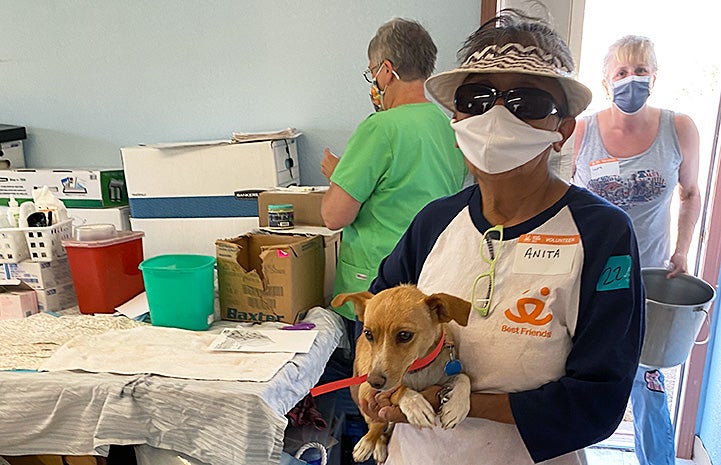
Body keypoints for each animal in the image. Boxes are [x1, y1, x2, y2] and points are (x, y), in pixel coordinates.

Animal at [332, 284, 472, 462]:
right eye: (368, 334)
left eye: (405, 335)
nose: (374, 381)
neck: (418, 369)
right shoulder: (366, 390)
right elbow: (397, 389)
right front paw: (415, 404)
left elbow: (463, 377)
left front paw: (456, 407)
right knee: (377, 423)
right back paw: (370, 443)